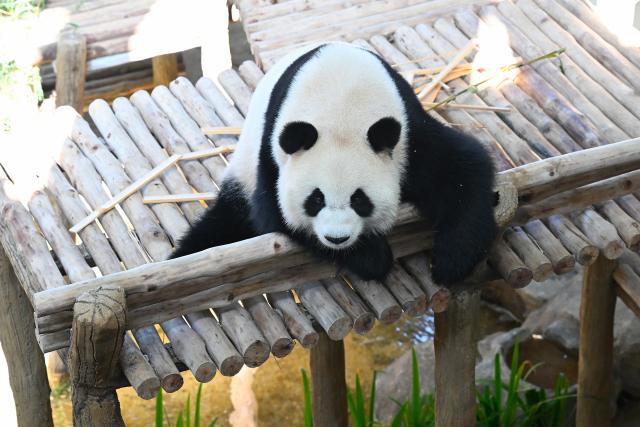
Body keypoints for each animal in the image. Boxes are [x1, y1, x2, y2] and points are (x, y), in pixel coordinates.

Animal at [172, 42, 497, 286]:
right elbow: (275, 214)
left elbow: (464, 170)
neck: (342, 106)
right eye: (315, 199)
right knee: (221, 224)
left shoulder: (408, 136)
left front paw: (450, 261)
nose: (337, 238)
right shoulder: (274, 152)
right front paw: (372, 257)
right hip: (244, 168)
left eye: (360, 199)